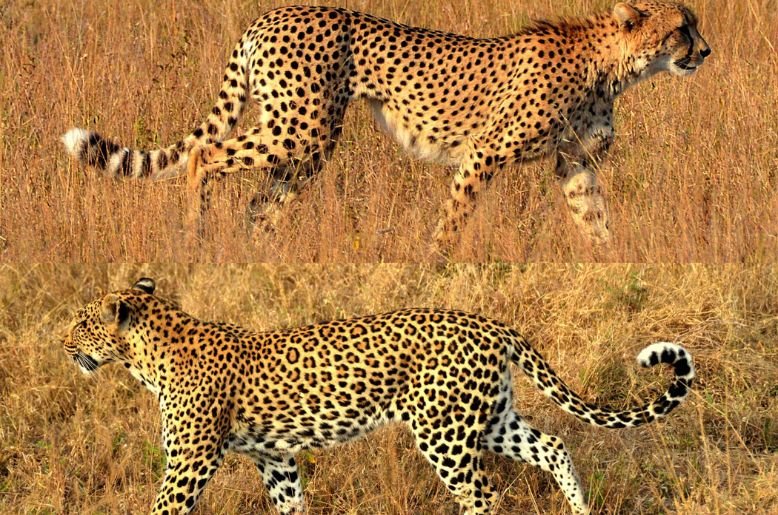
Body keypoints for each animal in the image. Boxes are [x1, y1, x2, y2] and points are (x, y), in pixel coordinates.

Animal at [61, 2, 710, 250]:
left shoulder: (575, 163)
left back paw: (256, 254)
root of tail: (269, 14)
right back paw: (196, 236)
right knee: (206, 155)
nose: (705, 51)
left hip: (308, 145)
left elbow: (596, 224)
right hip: (301, 126)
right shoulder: (484, 153)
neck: (612, 67)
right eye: (681, 27)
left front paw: (613, 262)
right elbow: (452, 223)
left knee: (259, 203)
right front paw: (435, 268)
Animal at [63, 278, 695, 514]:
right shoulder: (277, 458)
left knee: (483, 495)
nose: (63, 344)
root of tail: (487, 323)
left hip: (443, 434)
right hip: (489, 419)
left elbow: (162, 509)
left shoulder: (189, 464)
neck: (147, 357)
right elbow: (291, 506)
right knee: (555, 446)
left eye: (82, 323)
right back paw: (580, 509)